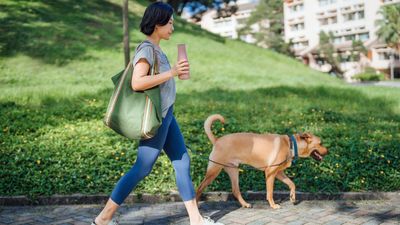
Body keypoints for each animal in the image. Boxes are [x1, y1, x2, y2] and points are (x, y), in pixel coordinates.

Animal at [195, 114, 330, 209]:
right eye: (321, 143)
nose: (328, 151)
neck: (291, 145)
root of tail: (217, 140)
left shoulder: (279, 173)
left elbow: (292, 184)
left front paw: (292, 197)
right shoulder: (270, 172)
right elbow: (270, 192)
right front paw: (273, 205)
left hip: (233, 171)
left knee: (235, 190)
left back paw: (245, 204)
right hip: (213, 171)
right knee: (199, 188)